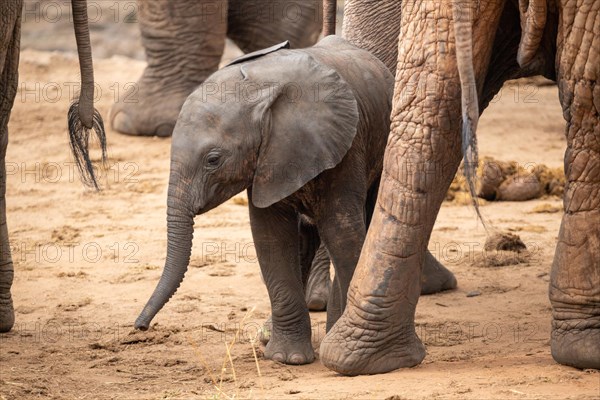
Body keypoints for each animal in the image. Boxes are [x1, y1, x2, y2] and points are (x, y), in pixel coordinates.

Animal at [135, 36, 454, 366]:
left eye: (213, 160)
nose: (140, 327)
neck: (259, 92)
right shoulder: (266, 161)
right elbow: (271, 238)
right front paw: (287, 358)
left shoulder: (342, 147)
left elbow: (342, 233)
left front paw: (323, 346)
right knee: (307, 238)